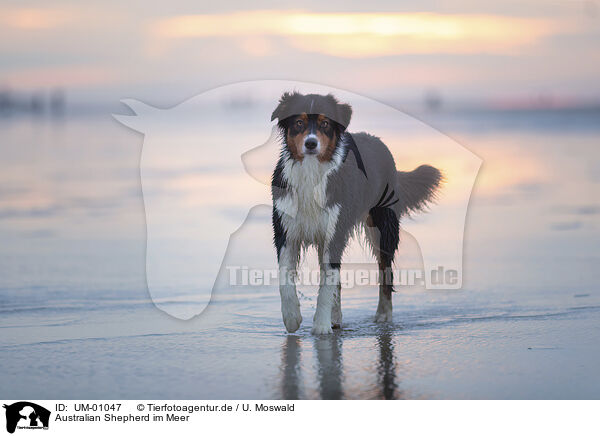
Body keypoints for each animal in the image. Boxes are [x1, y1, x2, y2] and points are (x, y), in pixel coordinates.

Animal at [272, 90, 440, 332]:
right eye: (299, 122)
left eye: (325, 123)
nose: (311, 144)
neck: (312, 172)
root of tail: (377, 140)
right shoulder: (286, 229)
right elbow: (286, 278)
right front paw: (292, 318)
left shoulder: (335, 231)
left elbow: (327, 283)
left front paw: (320, 326)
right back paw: (336, 318)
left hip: (382, 227)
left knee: (385, 273)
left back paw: (383, 316)